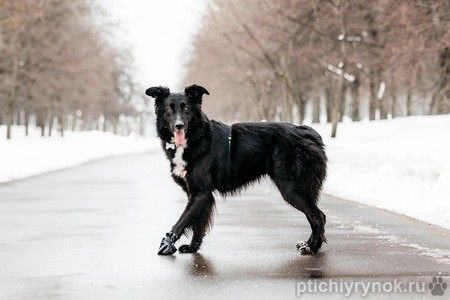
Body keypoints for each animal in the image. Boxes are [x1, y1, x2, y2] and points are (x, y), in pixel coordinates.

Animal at [147, 84, 326, 255]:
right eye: (169, 109)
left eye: (187, 109)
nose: (179, 126)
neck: (194, 138)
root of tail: (309, 132)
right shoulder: (197, 194)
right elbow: (198, 224)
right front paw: (192, 248)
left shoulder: (201, 193)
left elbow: (183, 220)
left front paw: (166, 244)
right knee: (315, 216)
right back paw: (309, 244)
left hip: (291, 188)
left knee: (319, 217)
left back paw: (312, 248)